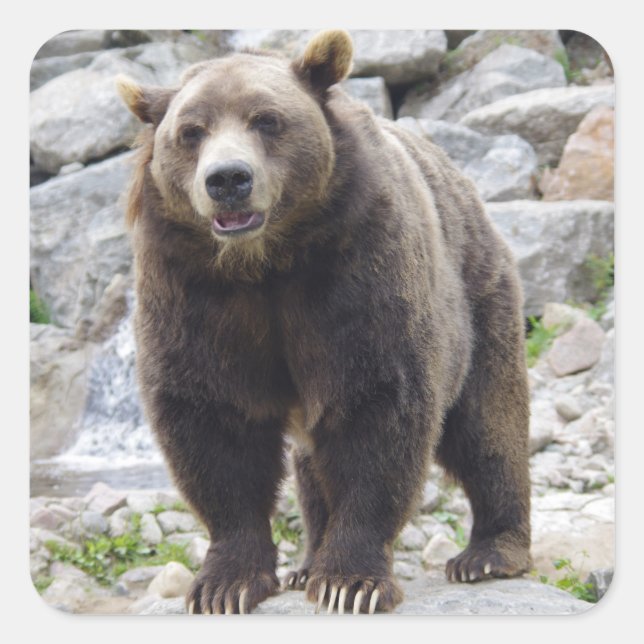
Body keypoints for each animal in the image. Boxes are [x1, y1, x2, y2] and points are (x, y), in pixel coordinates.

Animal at [116, 30, 532, 615]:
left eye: (266, 119)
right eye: (191, 131)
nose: (228, 179)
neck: (264, 263)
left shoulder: (356, 267)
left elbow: (375, 406)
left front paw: (350, 582)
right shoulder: (192, 291)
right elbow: (213, 419)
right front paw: (226, 584)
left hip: (478, 296)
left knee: (487, 423)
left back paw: (490, 553)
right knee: (313, 465)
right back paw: (306, 562)